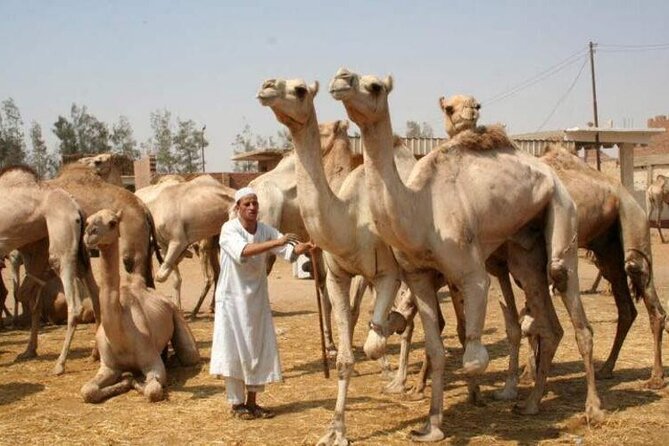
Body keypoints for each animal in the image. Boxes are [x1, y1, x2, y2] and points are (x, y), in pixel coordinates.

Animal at [0, 166, 100, 375]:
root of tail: (77, 208)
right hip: (76, 253)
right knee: (95, 294)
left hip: (60, 246)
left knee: (74, 304)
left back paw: (60, 364)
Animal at [80, 209, 200, 403]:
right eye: (88, 221)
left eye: (113, 222)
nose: (90, 234)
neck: (120, 337)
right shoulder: (108, 366)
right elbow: (88, 390)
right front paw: (124, 380)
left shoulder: (151, 361)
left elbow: (153, 390)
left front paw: (132, 381)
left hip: (176, 314)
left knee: (189, 355)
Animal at [258, 78, 421, 446]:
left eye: (299, 90)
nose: (267, 86)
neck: (351, 220)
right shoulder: (339, 276)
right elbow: (347, 356)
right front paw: (335, 430)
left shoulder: (386, 274)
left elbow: (374, 341)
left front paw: (389, 331)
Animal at [330, 69, 602, 441]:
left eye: (374, 86)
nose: (341, 78)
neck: (420, 208)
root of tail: (552, 175)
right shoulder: (418, 276)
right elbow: (436, 349)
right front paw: (431, 426)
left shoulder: (471, 273)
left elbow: (473, 357)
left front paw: (476, 400)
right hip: (525, 250)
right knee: (550, 323)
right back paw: (531, 403)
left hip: (563, 212)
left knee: (568, 295)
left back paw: (592, 409)